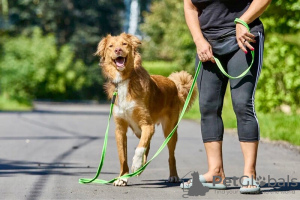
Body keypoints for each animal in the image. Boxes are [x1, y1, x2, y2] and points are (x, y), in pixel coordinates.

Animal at [94, 32, 197, 186]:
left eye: (124, 44)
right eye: (111, 46)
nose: (118, 50)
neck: (124, 80)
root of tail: (174, 84)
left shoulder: (147, 125)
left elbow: (139, 148)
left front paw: (136, 164)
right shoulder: (120, 129)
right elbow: (123, 156)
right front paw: (122, 177)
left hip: (169, 130)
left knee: (170, 154)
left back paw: (172, 175)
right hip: (138, 130)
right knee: (147, 145)